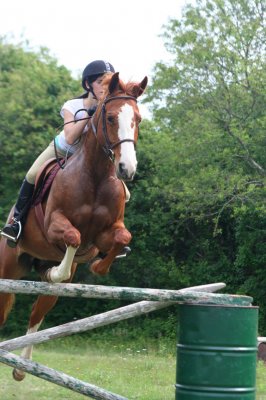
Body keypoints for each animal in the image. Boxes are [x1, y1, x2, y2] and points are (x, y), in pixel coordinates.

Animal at [0, 72, 148, 382]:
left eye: (138, 119)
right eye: (111, 118)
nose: (127, 169)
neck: (95, 175)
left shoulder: (106, 232)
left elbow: (120, 237)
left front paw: (98, 266)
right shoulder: (54, 224)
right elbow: (74, 236)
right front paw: (59, 269)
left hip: (49, 291)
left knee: (36, 316)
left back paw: (21, 369)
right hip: (7, 269)